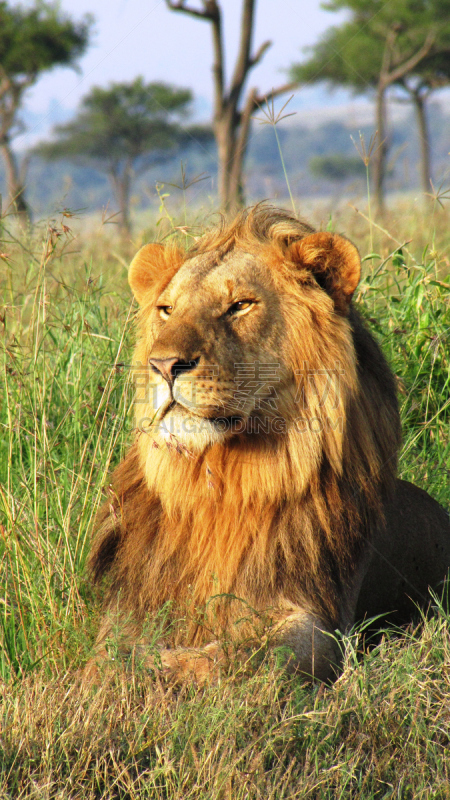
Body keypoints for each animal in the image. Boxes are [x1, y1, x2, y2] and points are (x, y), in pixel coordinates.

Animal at [89, 205, 450, 680]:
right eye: (166, 310)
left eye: (240, 305)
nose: (163, 365)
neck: (220, 483)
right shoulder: (132, 602)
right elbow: (105, 652)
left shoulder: (323, 617)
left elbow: (255, 655)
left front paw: (169, 665)